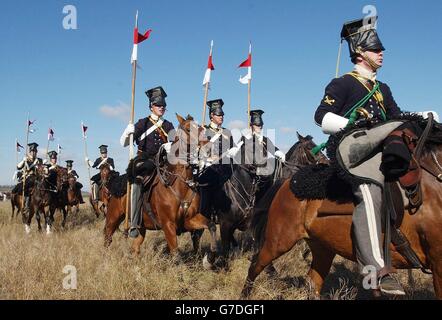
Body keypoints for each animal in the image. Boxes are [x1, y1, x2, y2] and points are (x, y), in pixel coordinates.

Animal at [102, 112, 216, 258]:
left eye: (202, 128)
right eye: (188, 129)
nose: (209, 149)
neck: (180, 185)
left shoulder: (189, 220)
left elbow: (211, 225)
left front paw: (212, 252)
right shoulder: (168, 225)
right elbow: (175, 253)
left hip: (141, 227)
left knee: (135, 248)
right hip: (113, 218)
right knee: (107, 238)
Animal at [242, 121, 442, 298]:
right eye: (310, 149)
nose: (324, 162)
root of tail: (287, 183)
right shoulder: (438, 264)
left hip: (322, 247)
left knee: (313, 283)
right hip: (278, 242)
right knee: (255, 266)